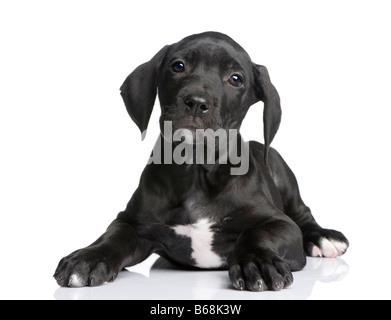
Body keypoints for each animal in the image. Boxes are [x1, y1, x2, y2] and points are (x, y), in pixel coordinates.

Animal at [52, 31, 350, 292]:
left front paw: (257, 262)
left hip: (279, 167)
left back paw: (324, 238)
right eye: (178, 66)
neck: (196, 169)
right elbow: (114, 236)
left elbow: (256, 234)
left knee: (303, 212)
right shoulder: (132, 222)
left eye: (235, 79)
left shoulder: (279, 224)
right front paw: (88, 258)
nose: (196, 102)